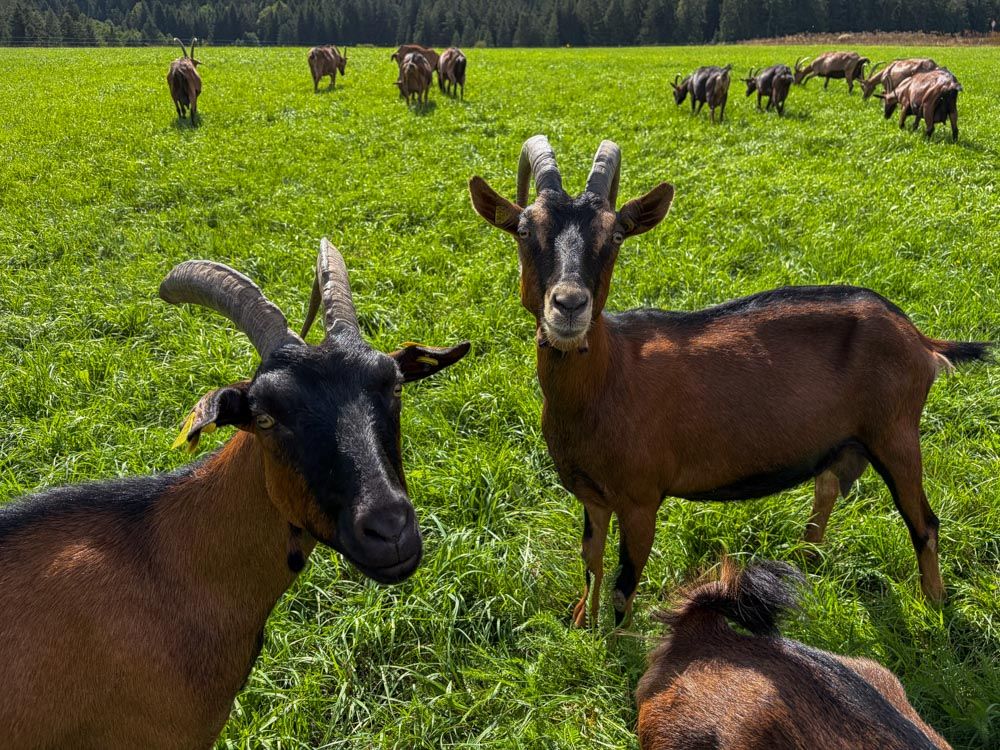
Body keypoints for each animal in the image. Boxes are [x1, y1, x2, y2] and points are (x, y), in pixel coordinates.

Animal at [469, 135, 990, 625]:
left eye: (615, 234)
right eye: (523, 229)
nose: (569, 305)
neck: (607, 379)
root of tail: (918, 338)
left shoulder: (640, 500)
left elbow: (622, 586)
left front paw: (618, 647)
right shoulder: (591, 494)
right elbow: (590, 563)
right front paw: (580, 623)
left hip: (896, 434)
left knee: (924, 523)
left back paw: (935, 606)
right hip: (844, 441)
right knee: (826, 490)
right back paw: (802, 565)